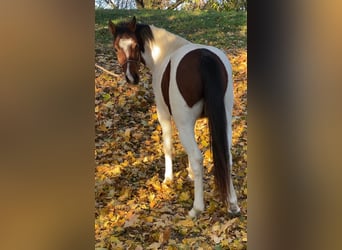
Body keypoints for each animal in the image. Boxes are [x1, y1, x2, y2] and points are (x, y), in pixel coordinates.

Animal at [108, 16, 239, 218]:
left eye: (136, 45)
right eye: (116, 48)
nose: (131, 77)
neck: (165, 52)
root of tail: (204, 57)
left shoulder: (164, 114)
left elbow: (167, 145)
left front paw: (168, 179)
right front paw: (190, 174)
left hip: (183, 123)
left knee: (197, 158)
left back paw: (196, 208)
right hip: (224, 120)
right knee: (226, 156)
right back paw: (233, 204)